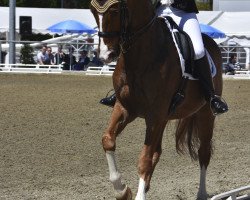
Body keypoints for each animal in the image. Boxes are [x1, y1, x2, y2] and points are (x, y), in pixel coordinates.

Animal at [91, 0, 224, 199]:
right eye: (92, 10)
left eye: (114, 10)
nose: (105, 55)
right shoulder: (125, 108)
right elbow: (108, 140)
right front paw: (122, 190)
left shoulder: (154, 115)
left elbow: (144, 159)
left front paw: (135, 194)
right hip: (165, 118)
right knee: (157, 151)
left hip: (205, 114)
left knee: (204, 152)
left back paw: (201, 193)